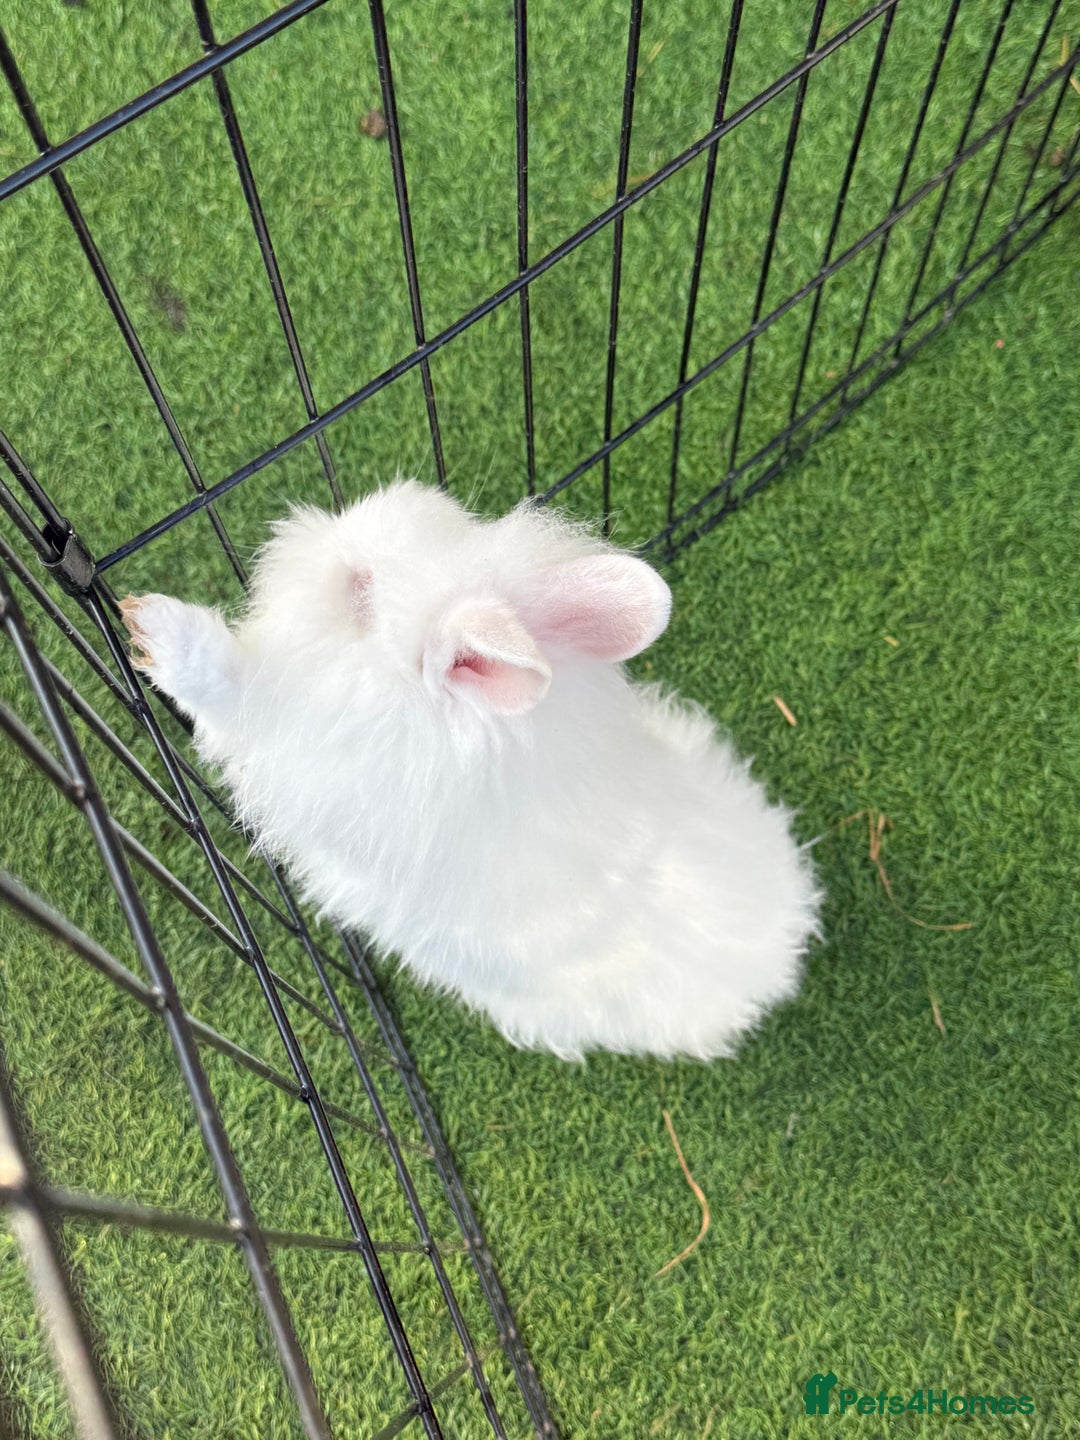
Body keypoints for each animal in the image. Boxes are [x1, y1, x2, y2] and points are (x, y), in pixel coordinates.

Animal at [120, 479, 821, 1060]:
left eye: (361, 593)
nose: (306, 530)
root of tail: (777, 962)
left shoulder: (296, 750)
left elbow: (230, 695)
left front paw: (154, 629)